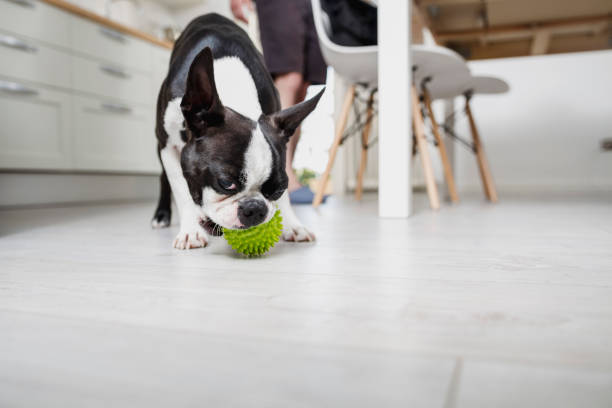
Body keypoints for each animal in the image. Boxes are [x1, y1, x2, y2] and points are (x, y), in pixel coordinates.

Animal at [150, 13, 322, 249]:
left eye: (279, 188)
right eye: (225, 184)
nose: (255, 208)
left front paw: (292, 225)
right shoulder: (169, 147)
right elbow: (182, 190)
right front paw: (191, 231)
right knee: (163, 178)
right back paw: (161, 215)